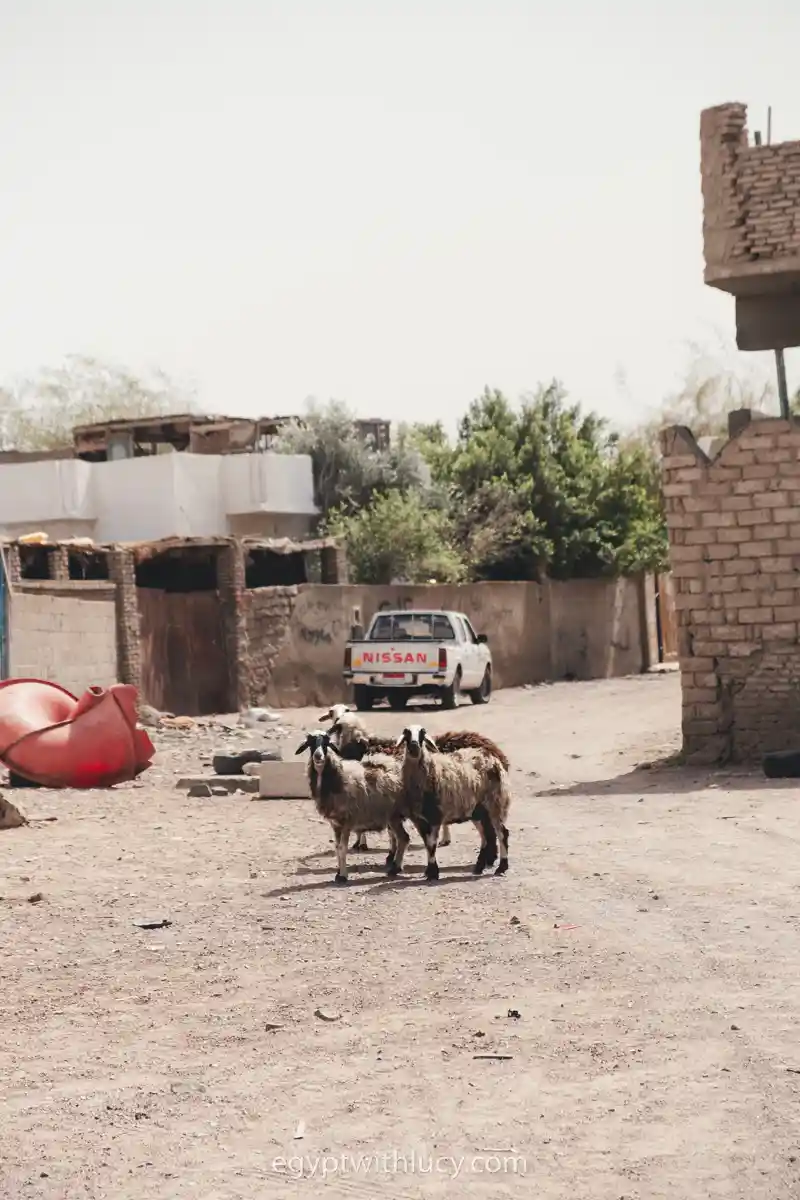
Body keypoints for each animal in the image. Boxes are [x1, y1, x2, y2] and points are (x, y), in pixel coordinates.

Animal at [294, 730, 408, 885]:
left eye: (326, 743)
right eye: (310, 743)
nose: (318, 756)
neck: (338, 779)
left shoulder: (347, 821)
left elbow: (343, 848)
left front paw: (343, 876)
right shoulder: (335, 824)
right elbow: (337, 848)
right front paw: (338, 873)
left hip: (394, 816)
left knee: (404, 838)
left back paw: (396, 868)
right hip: (393, 816)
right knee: (400, 837)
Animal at [394, 724, 511, 882]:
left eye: (422, 734)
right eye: (406, 734)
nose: (414, 746)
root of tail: (492, 756)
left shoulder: (435, 816)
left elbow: (431, 844)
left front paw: (433, 872)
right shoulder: (419, 819)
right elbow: (427, 844)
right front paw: (429, 871)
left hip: (495, 804)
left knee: (502, 833)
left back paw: (501, 867)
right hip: (478, 811)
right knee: (486, 836)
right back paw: (479, 867)